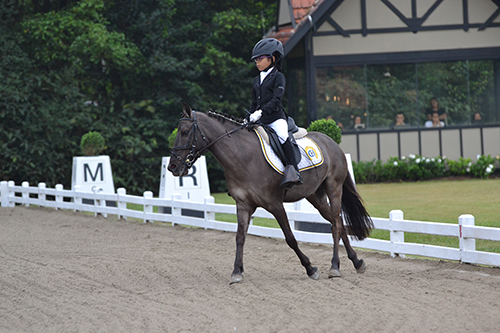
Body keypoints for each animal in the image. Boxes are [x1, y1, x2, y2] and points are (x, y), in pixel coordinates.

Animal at [169, 102, 376, 282]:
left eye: (185, 132)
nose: (172, 167)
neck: (243, 156)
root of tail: (331, 142)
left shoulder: (274, 204)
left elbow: (290, 238)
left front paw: (310, 268)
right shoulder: (243, 204)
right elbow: (239, 237)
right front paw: (236, 272)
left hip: (334, 188)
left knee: (335, 224)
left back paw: (335, 267)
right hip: (315, 196)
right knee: (337, 221)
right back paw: (357, 262)